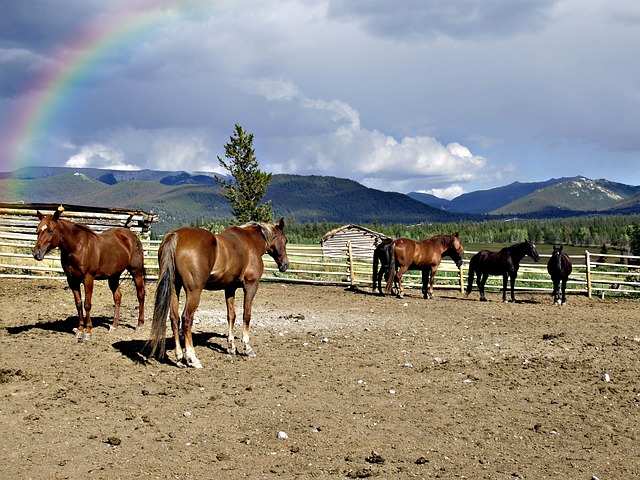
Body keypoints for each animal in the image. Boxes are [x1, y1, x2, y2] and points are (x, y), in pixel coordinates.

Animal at [32, 206, 146, 342]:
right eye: (37, 231)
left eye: (50, 231)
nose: (36, 253)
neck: (77, 247)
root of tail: (132, 236)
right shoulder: (72, 280)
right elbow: (78, 304)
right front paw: (80, 330)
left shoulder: (88, 278)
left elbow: (87, 304)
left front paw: (88, 331)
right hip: (114, 276)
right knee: (117, 296)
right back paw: (114, 325)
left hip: (136, 272)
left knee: (140, 295)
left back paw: (139, 325)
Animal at [149, 219, 288, 370]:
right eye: (285, 240)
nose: (285, 265)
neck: (251, 241)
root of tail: (176, 235)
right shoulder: (250, 285)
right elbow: (247, 315)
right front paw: (247, 348)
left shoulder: (230, 288)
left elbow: (231, 316)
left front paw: (231, 347)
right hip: (193, 291)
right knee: (186, 319)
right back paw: (193, 358)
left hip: (175, 288)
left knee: (175, 318)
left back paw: (180, 358)